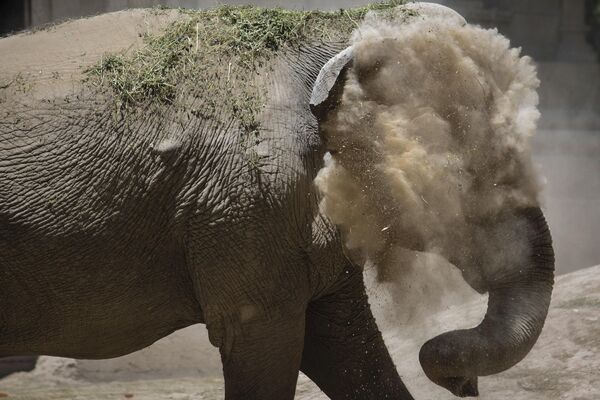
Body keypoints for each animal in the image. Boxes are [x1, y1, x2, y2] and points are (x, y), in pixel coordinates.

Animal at [0, 3, 552, 400]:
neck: (333, 26)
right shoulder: (247, 201)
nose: (464, 386)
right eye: (465, 172)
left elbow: (346, 346)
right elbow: (267, 340)